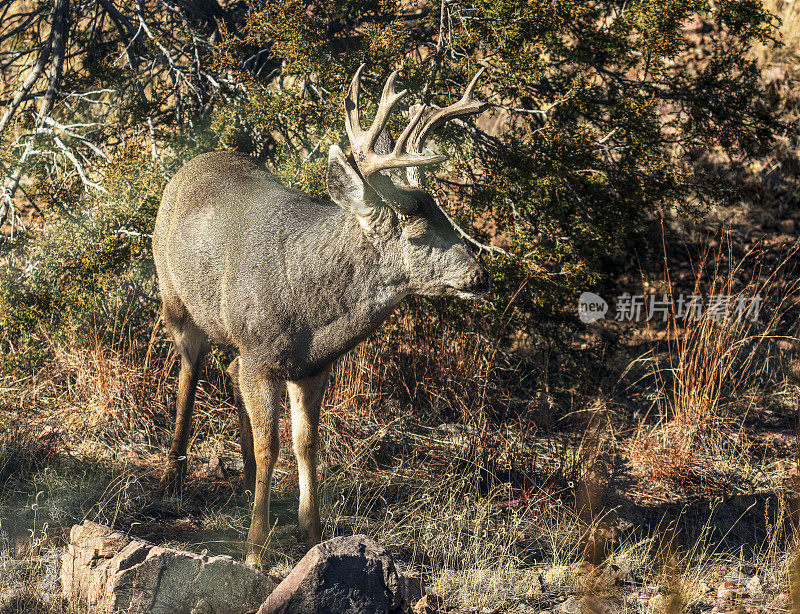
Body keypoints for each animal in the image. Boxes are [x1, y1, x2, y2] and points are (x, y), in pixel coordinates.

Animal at [150, 63, 488, 568]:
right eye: (419, 234)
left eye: (447, 218)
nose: (479, 275)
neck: (310, 310)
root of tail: (193, 163)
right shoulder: (262, 354)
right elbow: (272, 447)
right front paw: (256, 549)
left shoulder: (312, 366)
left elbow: (306, 443)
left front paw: (313, 535)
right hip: (176, 300)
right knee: (189, 372)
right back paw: (172, 477)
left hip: (235, 339)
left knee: (228, 371)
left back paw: (244, 481)